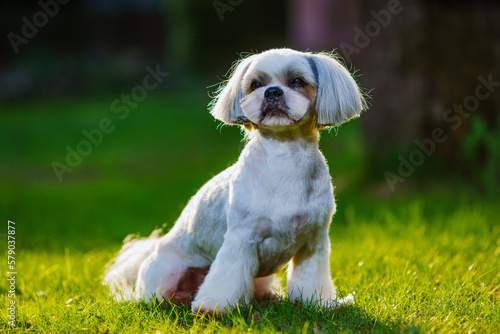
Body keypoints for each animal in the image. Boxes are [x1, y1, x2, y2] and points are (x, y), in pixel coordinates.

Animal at [103, 48, 366, 314]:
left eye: (297, 81)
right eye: (255, 84)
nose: (272, 92)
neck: (285, 157)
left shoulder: (314, 242)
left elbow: (312, 278)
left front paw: (321, 303)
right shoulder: (240, 240)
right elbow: (227, 276)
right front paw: (213, 307)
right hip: (166, 274)